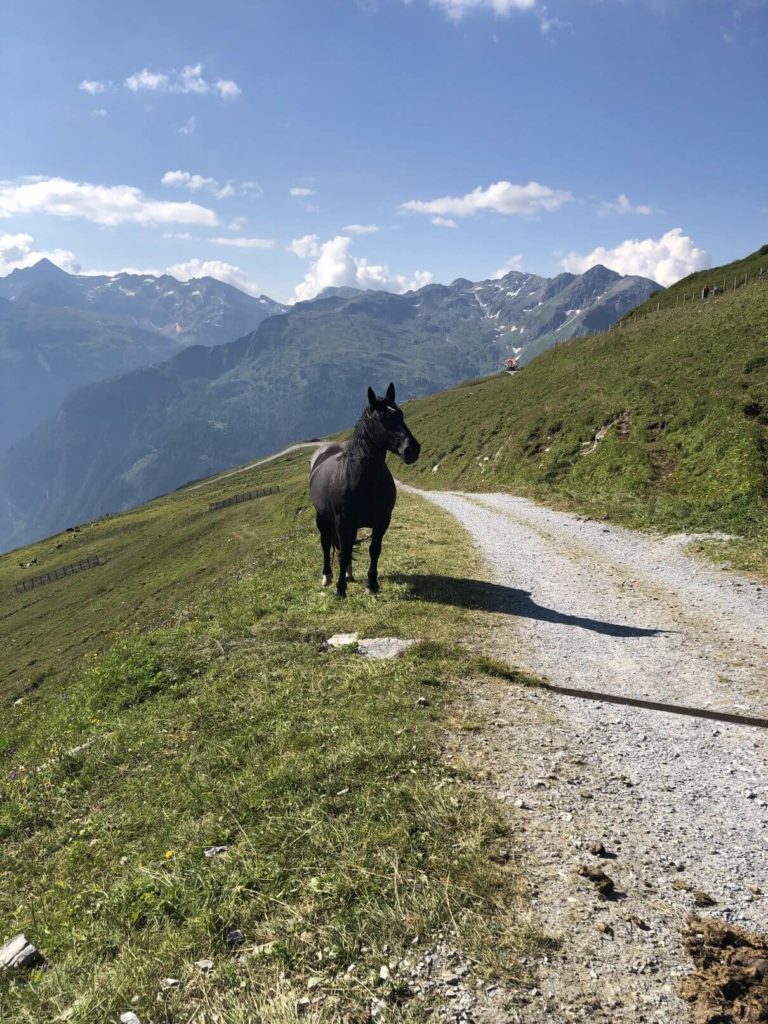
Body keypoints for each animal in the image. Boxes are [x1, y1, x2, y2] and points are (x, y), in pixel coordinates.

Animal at [311, 385, 423, 598]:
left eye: (401, 415)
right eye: (382, 419)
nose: (411, 449)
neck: (363, 481)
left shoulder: (382, 521)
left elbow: (374, 550)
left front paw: (372, 585)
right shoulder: (342, 522)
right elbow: (343, 553)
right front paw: (340, 590)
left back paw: (348, 573)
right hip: (323, 518)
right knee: (326, 543)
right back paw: (327, 576)